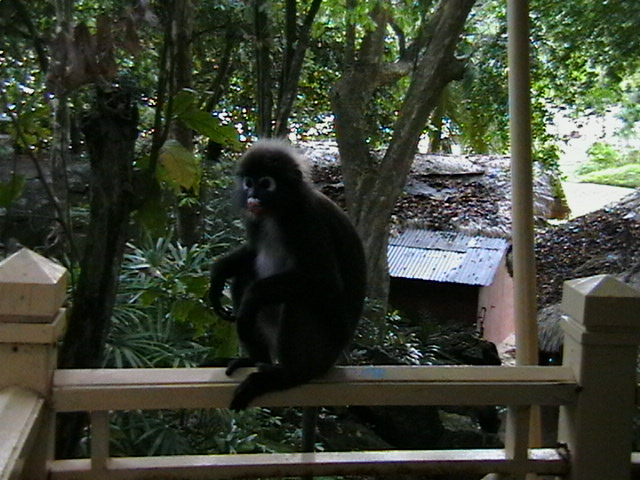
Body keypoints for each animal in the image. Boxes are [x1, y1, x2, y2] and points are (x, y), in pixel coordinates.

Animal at [210, 140, 364, 412]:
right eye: (249, 182)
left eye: (266, 183)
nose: (253, 197)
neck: (277, 213)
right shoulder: (256, 220)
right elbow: (252, 254)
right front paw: (219, 273)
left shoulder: (306, 220)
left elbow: (326, 281)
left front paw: (251, 299)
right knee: (244, 277)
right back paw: (254, 360)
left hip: (323, 352)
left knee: (300, 300)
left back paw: (287, 376)